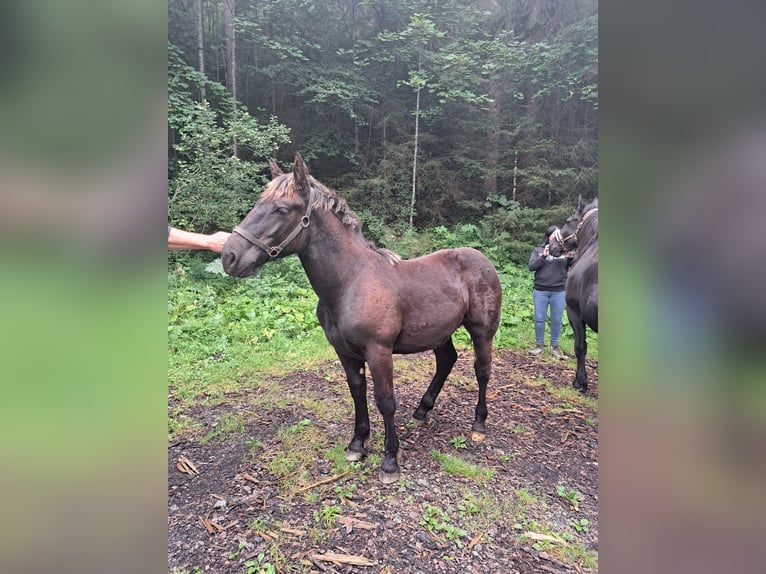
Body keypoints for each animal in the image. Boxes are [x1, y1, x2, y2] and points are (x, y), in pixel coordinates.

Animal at [222, 155, 504, 484]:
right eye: (258, 203)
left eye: (281, 209)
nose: (229, 256)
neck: (350, 282)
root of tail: (483, 260)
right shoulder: (345, 352)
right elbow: (357, 391)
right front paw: (357, 444)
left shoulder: (378, 351)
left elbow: (385, 401)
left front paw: (390, 461)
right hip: (439, 333)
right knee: (447, 360)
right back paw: (422, 411)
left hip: (482, 331)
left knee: (482, 370)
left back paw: (479, 424)